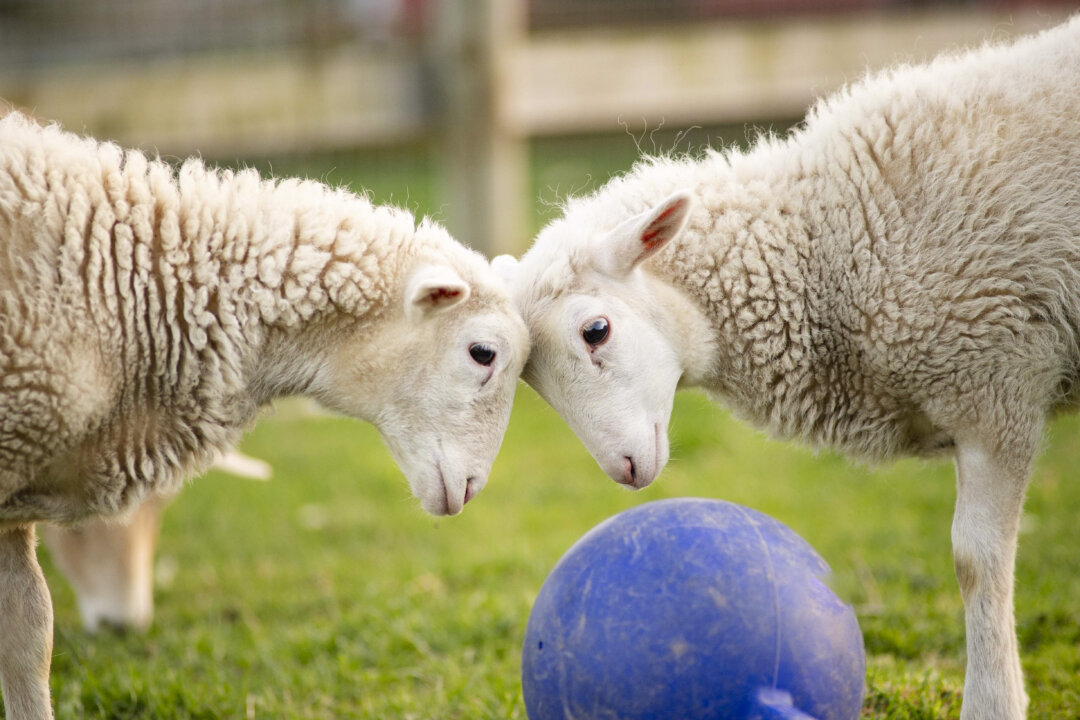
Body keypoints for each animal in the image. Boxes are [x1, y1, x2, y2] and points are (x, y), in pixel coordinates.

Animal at [495, 17, 1080, 720]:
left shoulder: (997, 386)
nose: (626, 471)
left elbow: (976, 560)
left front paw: (993, 701)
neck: (832, 242)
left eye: (596, 331)